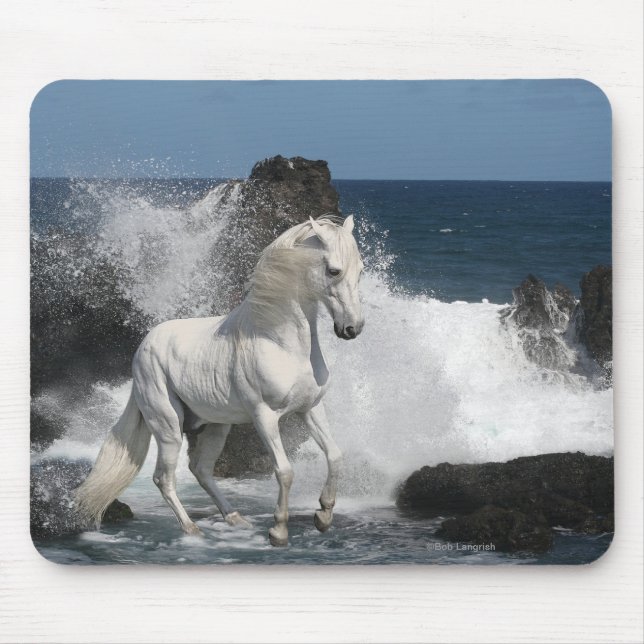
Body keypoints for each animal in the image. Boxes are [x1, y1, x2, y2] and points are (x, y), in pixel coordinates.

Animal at [74, 215, 364, 546]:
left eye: (360, 270)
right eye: (333, 270)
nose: (352, 328)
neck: (280, 342)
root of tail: (143, 347)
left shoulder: (311, 408)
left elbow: (335, 455)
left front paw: (323, 516)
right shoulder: (264, 416)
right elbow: (285, 471)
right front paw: (278, 531)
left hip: (215, 426)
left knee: (200, 469)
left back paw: (235, 518)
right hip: (168, 427)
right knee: (164, 477)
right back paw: (192, 530)